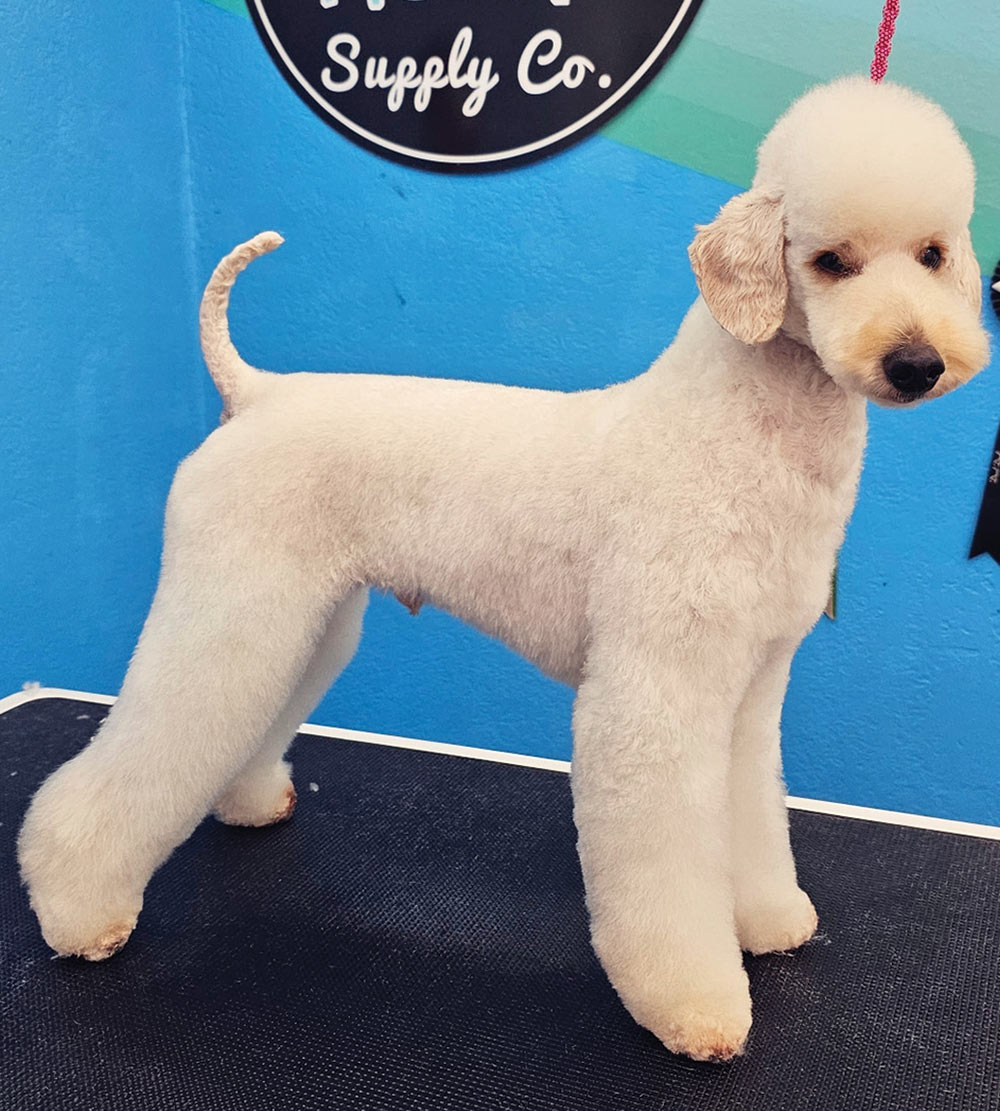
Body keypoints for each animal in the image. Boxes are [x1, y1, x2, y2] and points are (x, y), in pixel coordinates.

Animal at [19, 78, 986, 1057]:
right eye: (829, 260)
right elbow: (668, 869)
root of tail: (254, 392)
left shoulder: (748, 691)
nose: (917, 363)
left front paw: (769, 919)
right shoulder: (654, 696)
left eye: (933, 254)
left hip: (304, 621)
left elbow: (750, 812)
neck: (739, 434)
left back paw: (246, 802)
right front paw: (695, 1005)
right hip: (231, 605)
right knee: (126, 764)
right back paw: (77, 909)